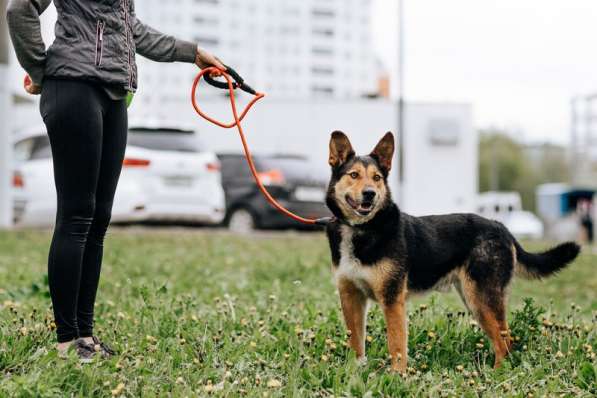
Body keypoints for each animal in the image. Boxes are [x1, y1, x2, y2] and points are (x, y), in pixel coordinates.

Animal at [324, 131, 580, 370]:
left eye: (377, 178)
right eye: (354, 175)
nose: (370, 193)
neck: (361, 229)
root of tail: (502, 227)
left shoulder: (392, 300)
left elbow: (396, 346)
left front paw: (397, 376)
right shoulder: (351, 298)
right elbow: (356, 343)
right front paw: (356, 371)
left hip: (482, 299)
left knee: (505, 343)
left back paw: (495, 374)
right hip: (473, 299)